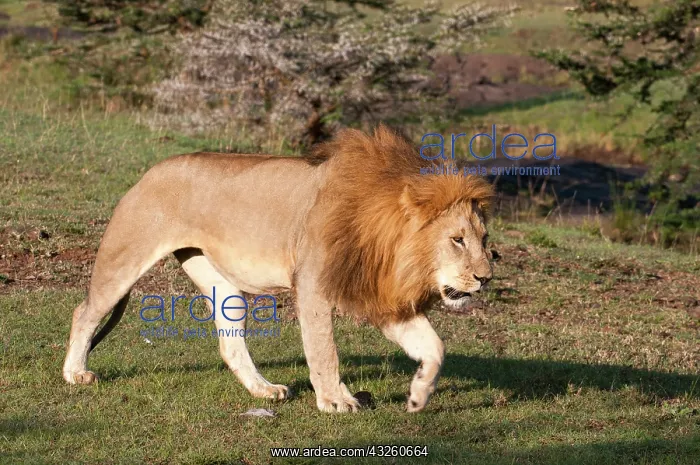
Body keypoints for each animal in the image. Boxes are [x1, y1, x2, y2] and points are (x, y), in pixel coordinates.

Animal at [63, 124, 494, 413]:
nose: (485, 278)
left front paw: (419, 396)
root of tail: (150, 171)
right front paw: (335, 401)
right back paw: (75, 374)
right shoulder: (314, 287)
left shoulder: (378, 295)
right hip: (124, 258)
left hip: (225, 288)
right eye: (457, 240)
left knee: (230, 343)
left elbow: (434, 346)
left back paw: (264, 390)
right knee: (84, 312)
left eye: (484, 239)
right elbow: (324, 350)